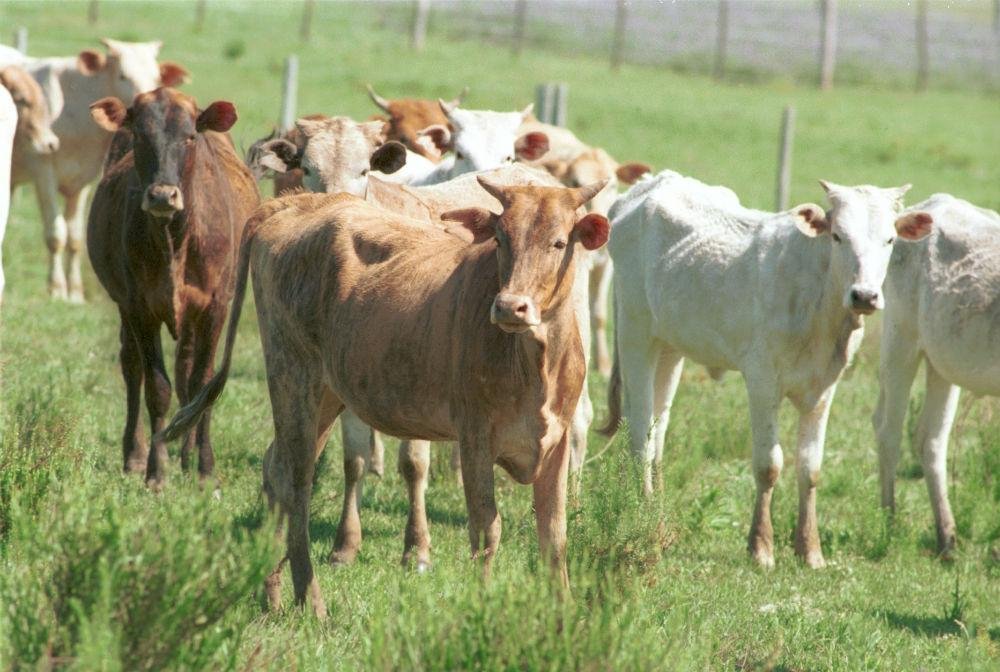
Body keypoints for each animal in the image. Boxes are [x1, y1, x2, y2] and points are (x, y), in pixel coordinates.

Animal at [5, 39, 188, 302]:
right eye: (123, 75)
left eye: (156, 77)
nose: (151, 108)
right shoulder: (44, 172)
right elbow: (56, 234)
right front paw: (56, 289)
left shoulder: (83, 181)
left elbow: (74, 238)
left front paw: (75, 293)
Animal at [86, 88, 259, 486]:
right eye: (140, 136)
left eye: (190, 137)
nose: (163, 196)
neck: (175, 241)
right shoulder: (140, 309)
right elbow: (157, 388)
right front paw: (155, 470)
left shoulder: (214, 308)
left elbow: (202, 384)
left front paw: (206, 469)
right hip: (125, 309)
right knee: (132, 366)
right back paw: (135, 454)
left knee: (186, 373)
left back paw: (188, 452)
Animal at [158, 177, 609, 617]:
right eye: (500, 239)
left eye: (559, 242)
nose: (510, 306)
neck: (535, 364)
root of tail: (301, 203)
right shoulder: (475, 436)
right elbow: (487, 530)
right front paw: (481, 608)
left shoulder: (557, 440)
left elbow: (554, 533)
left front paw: (563, 614)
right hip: (293, 376)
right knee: (296, 484)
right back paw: (311, 602)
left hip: (325, 394)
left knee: (276, 468)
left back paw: (271, 593)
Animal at [601, 170, 932, 568]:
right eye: (838, 236)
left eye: (890, 239)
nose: (864, 295)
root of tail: (650, 184)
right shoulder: (761, 381)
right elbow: (769, 465)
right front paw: (760, 547)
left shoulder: (825, 389)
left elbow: (810, 468)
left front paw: (810, 549)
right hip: (635, 333)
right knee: (639, 432)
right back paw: (642, 518)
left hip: (669, 345)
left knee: (658, 428)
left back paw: (657, 517)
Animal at [873, 194, 1000, 558]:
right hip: (900, 338)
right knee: (888, 429)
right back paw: (889, 523)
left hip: (942, 363)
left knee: (929, 439)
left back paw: (947, 540)